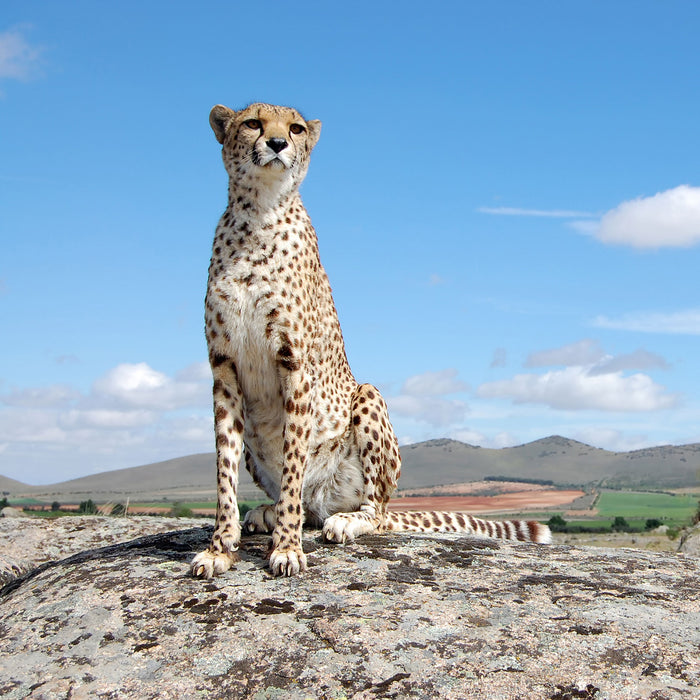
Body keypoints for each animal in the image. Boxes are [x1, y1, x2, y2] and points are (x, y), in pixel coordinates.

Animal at [191, 101, 552, 576]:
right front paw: (220, 547)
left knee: (370, 511)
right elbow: (224, 468)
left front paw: (286, 547)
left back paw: (342, 521)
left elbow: (292, 463)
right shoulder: (224, 367)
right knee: (305, 502)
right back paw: (267, 514)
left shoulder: (294, 364)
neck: (259, 216)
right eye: (253, 123)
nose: (277, 143)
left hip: (368, 398)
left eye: (296, 128)